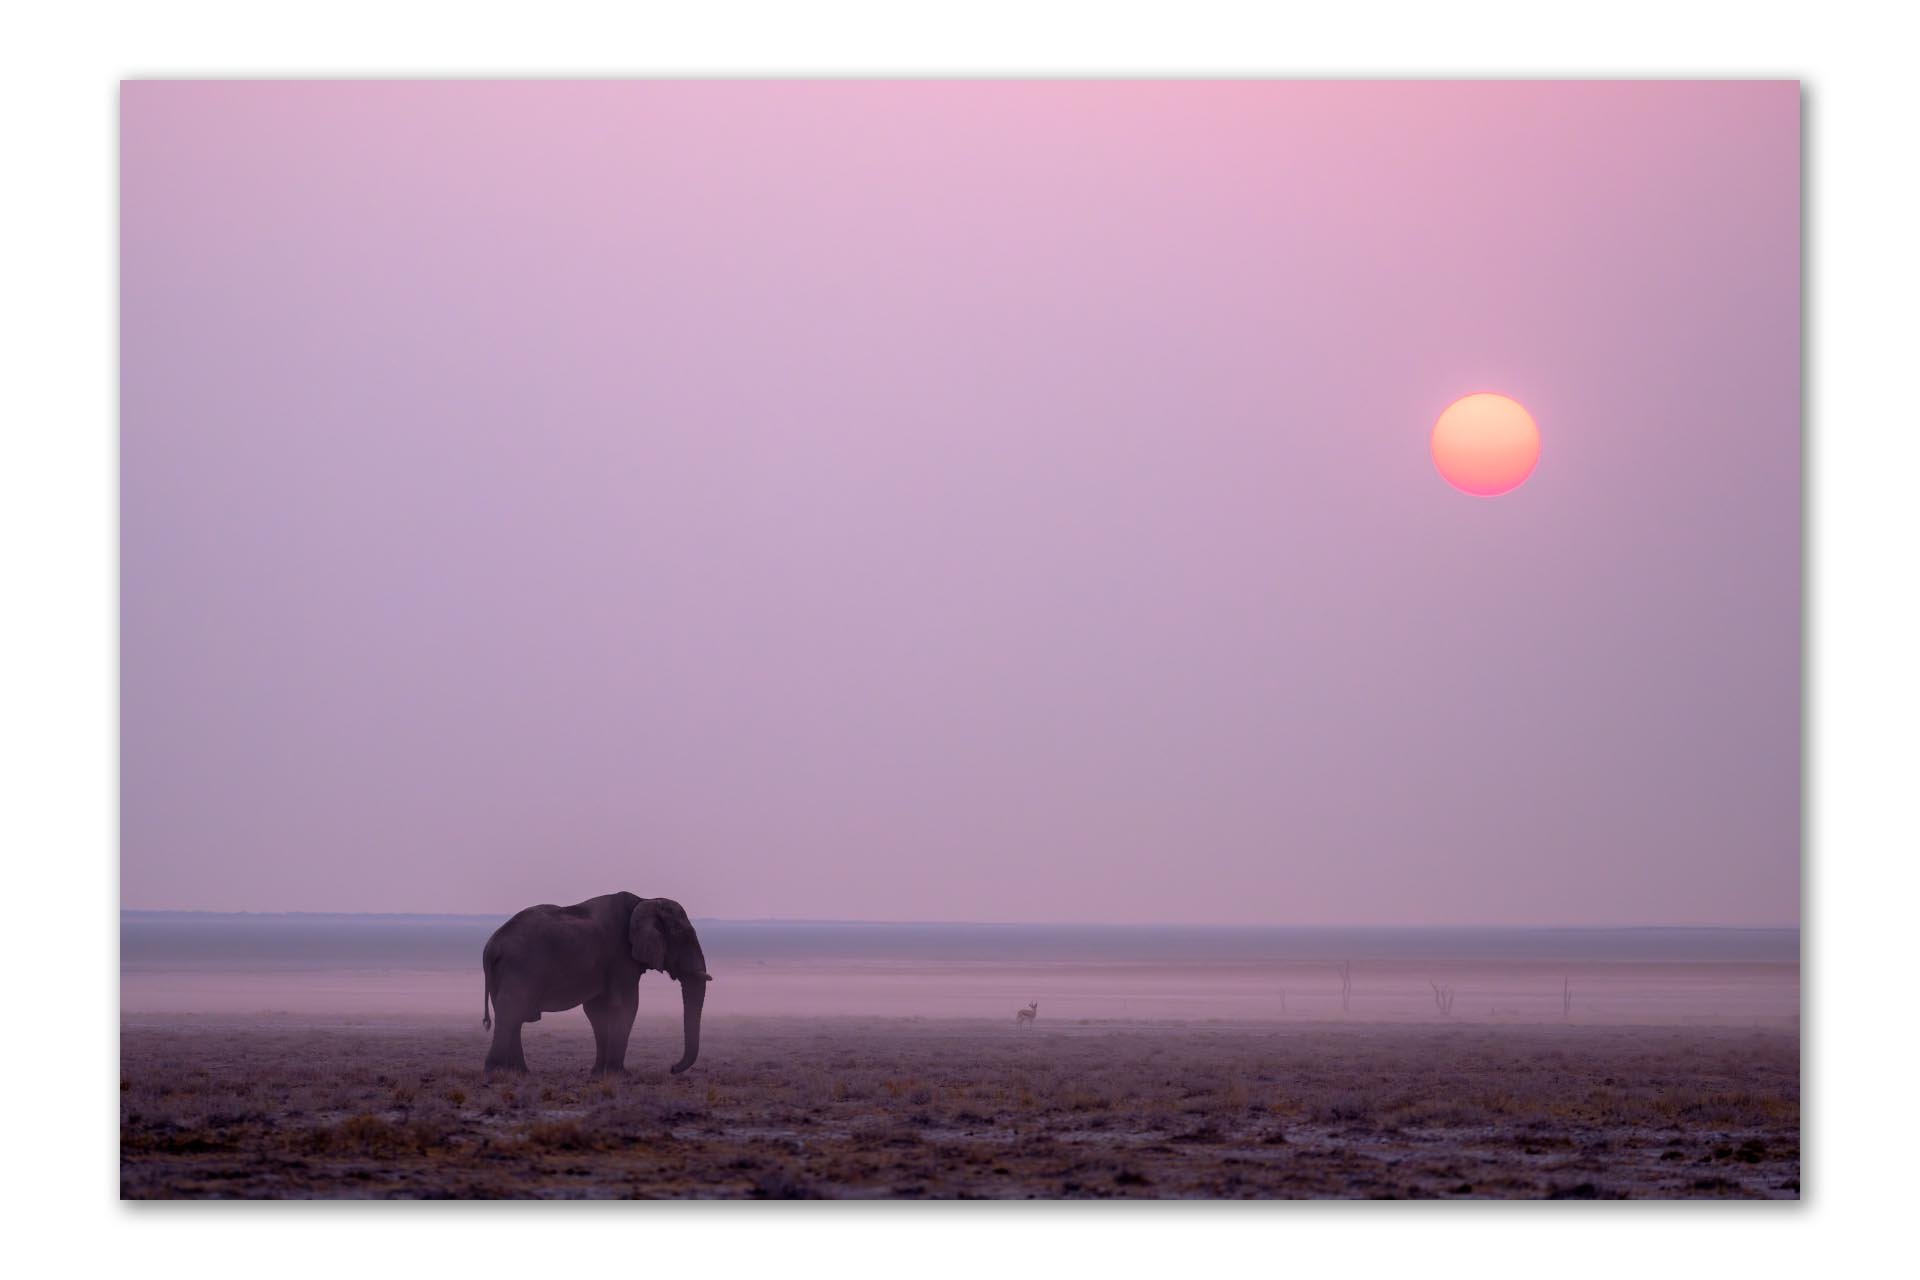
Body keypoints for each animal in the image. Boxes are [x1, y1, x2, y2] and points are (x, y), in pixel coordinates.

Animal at [481, 892, 710, 1076]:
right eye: (683, 936)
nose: (672, 1068)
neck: (646, 900)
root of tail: (492, 946)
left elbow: (597, 1010)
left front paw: (598, 1073)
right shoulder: (620, 956)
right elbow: (626, 1006)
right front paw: (621, 1075)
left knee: (510, 1013)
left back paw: (520, 1072)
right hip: (521, 966)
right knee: (512, 1009)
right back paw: (494, 1070)